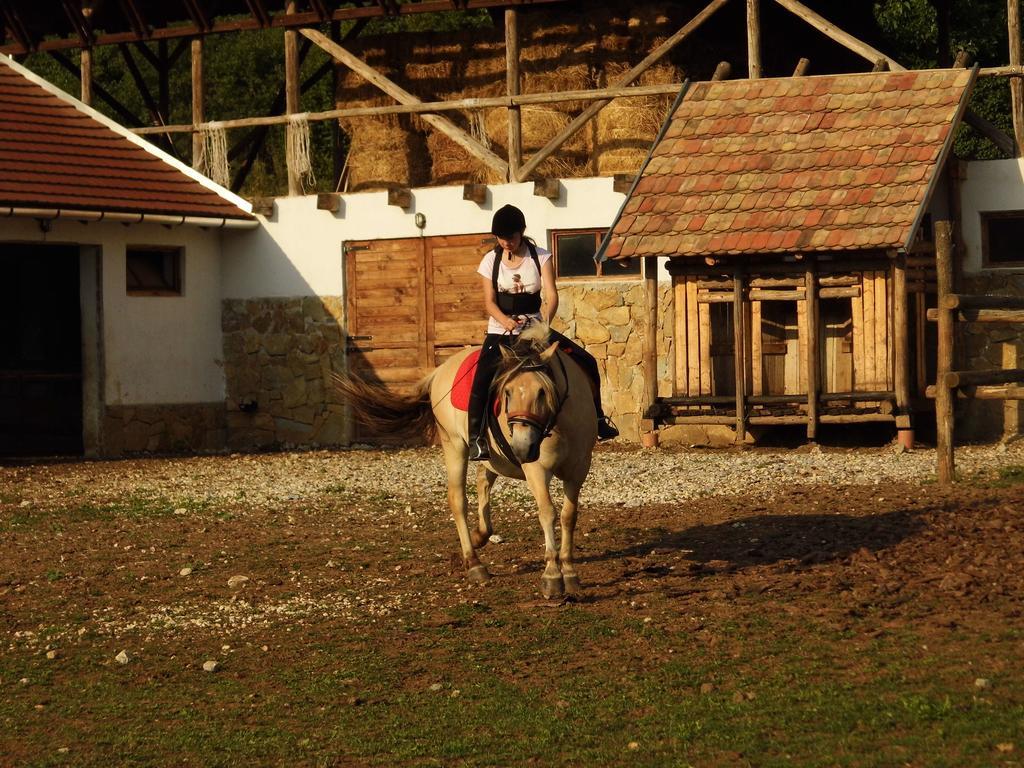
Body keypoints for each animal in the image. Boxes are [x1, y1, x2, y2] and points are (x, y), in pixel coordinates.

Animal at [335, 325, 598, 602]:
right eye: (507, 392)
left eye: (542, 392)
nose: (522, 448)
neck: (560, 424)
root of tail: (441, 369)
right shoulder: (536, 469)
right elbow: (547, 512)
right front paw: (552, 575)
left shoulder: (579, 468)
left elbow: (569, 516)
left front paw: (569, 571)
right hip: (453, 444)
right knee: (458, 499)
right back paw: (473, 562)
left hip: (493, 456)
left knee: (484, 480)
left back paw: (480, 536)